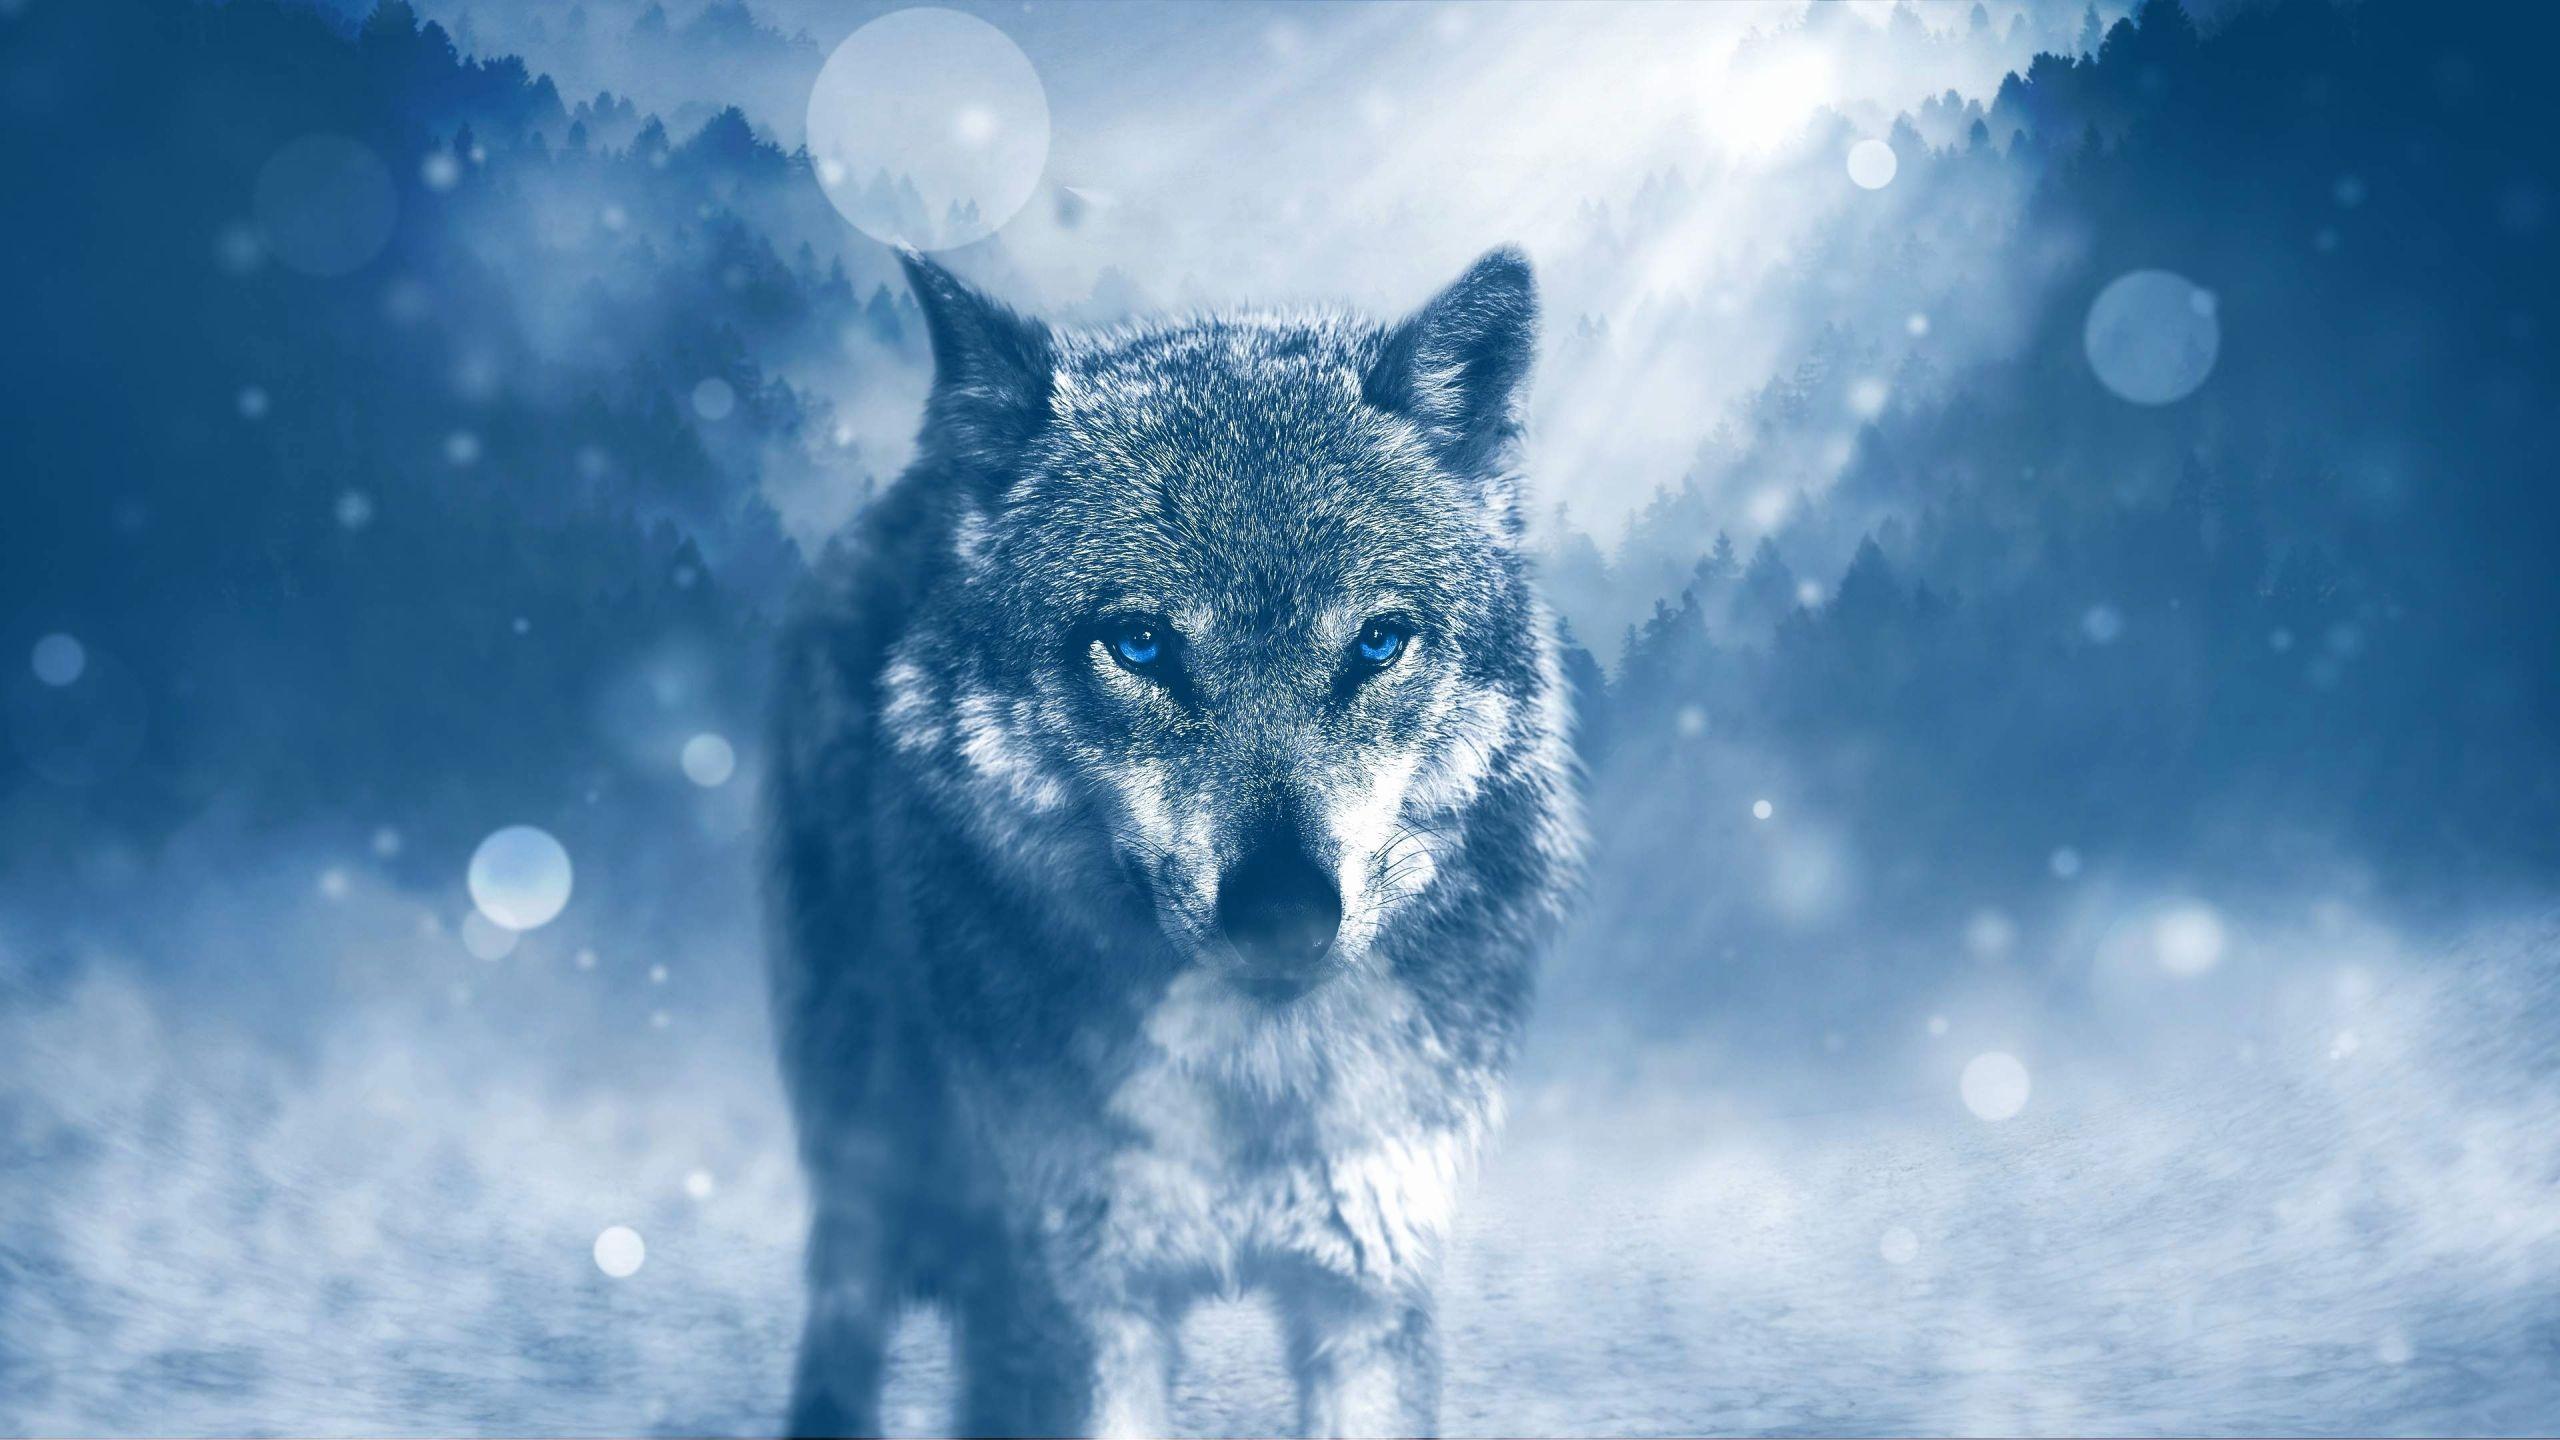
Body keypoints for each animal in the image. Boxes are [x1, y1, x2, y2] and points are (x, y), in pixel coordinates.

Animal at [763, 245, 1581, 1438]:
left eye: (1378, 642)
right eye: (1140, 644)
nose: (1284, 915)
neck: (1252, 1086)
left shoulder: (1369, 1291)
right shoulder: (1078, 1303)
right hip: (866, 1131)